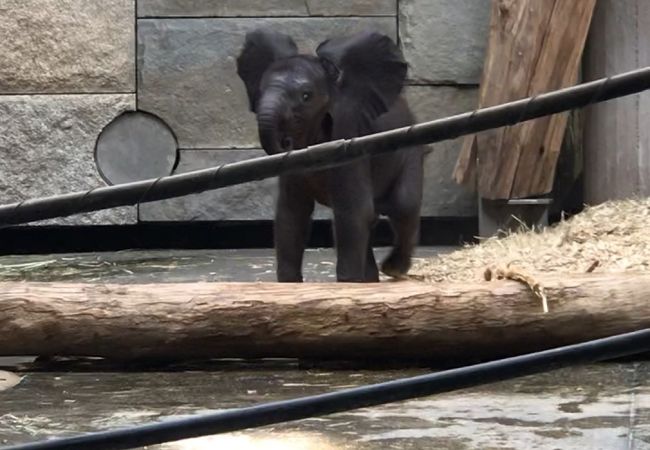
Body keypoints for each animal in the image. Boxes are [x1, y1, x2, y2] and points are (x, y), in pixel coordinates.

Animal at [235, 28, 422, 282]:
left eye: (306, 96)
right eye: (260, 92)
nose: (286, 140)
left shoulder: (348, 135)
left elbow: (352, 211)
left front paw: (347, 284)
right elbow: (291, 214)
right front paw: (290, 285)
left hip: (410, 153)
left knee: (403, 205)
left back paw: (393, 270)